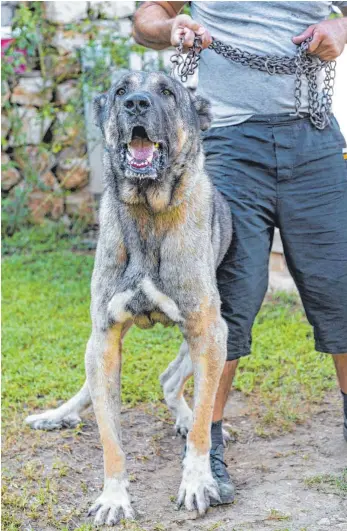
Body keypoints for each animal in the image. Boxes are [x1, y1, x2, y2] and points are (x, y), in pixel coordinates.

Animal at [25, 71, 232, 528]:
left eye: (168, 92)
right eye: (121, 90)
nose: (136, 103)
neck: (148, 213)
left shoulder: (207, 331)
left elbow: (202, 426)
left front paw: (196, 480)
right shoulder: (104, 339)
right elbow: (110, 438)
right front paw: (114, 497)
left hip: (224, 332)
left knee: (177, 384)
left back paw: (188, 419)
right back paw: (57, 415)